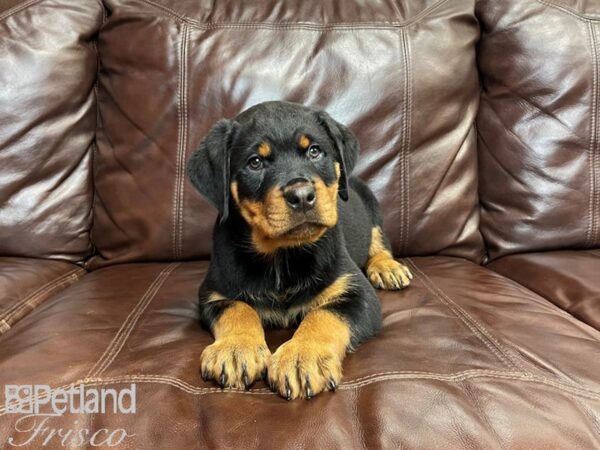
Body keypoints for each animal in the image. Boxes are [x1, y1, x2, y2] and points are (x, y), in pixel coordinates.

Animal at [188, 100, 412, 400]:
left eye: (314, 151)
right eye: (255, 162)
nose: (302, 195)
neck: (282, 255)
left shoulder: (358, 292)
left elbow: (325, 314)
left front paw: (302, 356)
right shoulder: (213, 292)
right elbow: (238, 308)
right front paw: (235, 349)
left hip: (372, 205)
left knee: (379, 241)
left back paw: (388, 268)